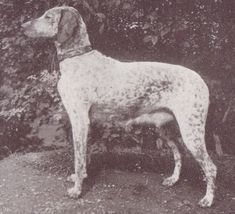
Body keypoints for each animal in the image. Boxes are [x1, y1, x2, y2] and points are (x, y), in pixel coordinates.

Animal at [22, 6, 217, 207]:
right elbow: (85, 156)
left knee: (211, 167)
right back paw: (173, 180)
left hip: (191, 132)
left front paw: (77, 190)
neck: (78, 58)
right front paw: (80, 177)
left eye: (48, 17)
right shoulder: (87, 124)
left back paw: (208, 199)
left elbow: (78, 158)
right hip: (165, 129)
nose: (22, 27)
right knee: (179, 155)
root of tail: (201, 80)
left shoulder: (79, 120)